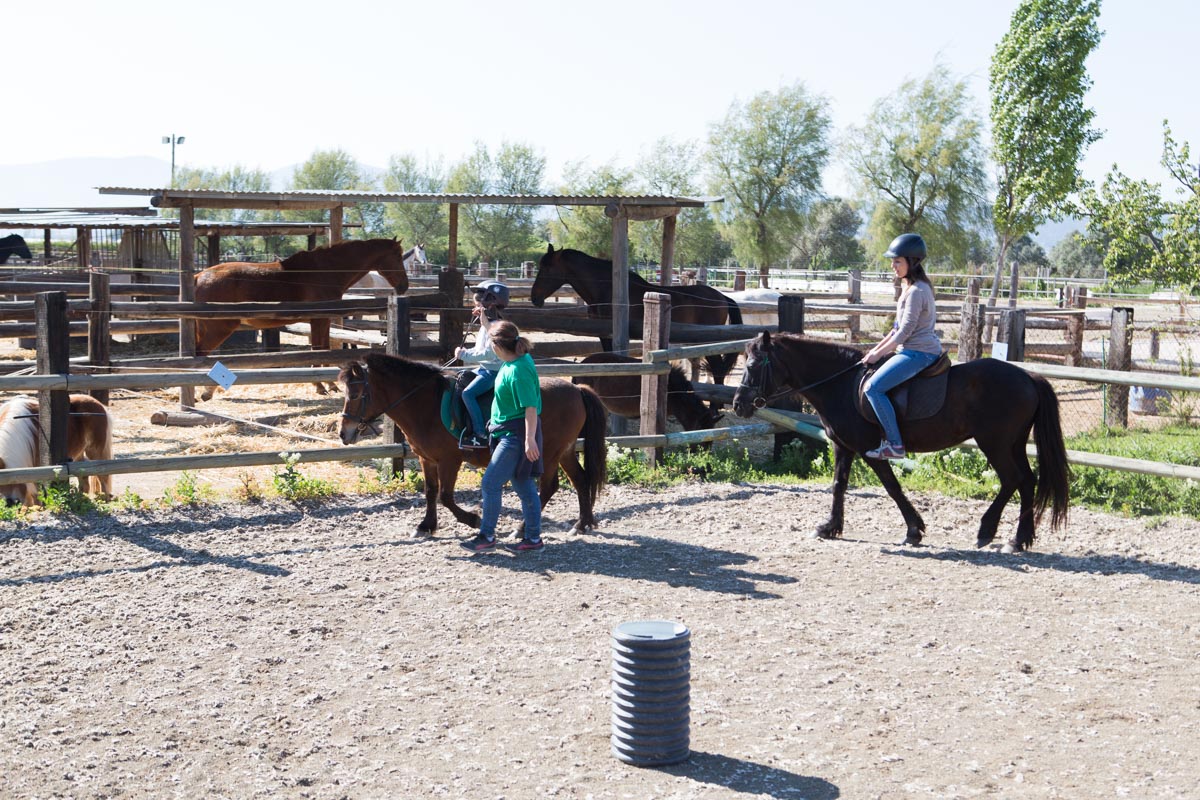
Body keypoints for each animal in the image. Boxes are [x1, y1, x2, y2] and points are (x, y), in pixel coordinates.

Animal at [192, 237, 408, 400]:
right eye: (397, 256)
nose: (404, 286)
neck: (324, 271)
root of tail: (199, 276)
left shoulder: (323, 320)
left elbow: (323, 349)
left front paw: (328, 384)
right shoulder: (318, 320)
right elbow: (318, 350)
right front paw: (320, 385)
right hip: (219, 328)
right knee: (199, 355)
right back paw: (204, 392)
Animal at [338, 355, 609, 537]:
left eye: (355, 395)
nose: (343, 433)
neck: (425, 404)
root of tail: (576, 389)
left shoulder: (450, 460)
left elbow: (445, 496)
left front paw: (473, 520)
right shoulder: (427, 459)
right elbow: (430, 492)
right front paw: (426, 526)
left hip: (549, 453)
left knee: (549, 487)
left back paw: (522, 529)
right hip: (565, 451)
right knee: (581, 480)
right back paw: (582, 524)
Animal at [532, 245, 744, 386]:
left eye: (547, 268)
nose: (534, 298)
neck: (607, 290)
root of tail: (722, 296)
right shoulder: (602, 333)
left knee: (718, 370)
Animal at [729, 331, 1070, 551]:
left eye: (752, 366)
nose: (738, 405)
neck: (840, 384)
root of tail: (1028, 377)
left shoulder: (869, 450)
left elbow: (892, 487)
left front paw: (914, 531)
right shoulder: (843, 446)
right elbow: (838, 484)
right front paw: (830, 528)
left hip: (995, 443)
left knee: (1012, 480)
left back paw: (989, 531)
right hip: (1013, 443)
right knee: (1027, 481)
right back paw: (1020, 538)